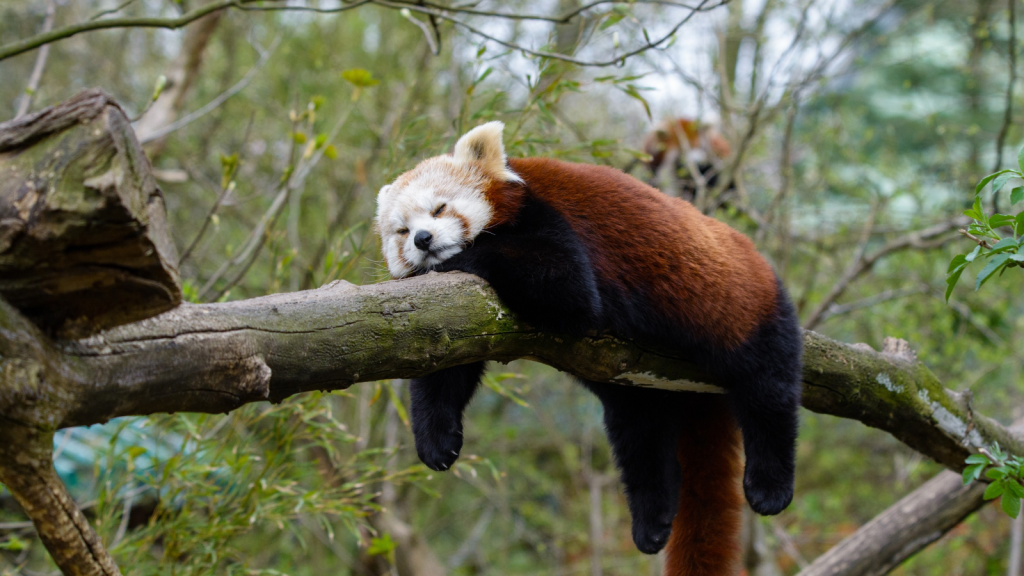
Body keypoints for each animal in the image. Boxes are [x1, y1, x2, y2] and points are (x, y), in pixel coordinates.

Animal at [372, 120, 802, 573]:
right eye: (401, 231)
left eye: (439, 209)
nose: (422, 239)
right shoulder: (463, 319)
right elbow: (445, 368)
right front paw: (436, 441)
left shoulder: (551, 223)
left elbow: (565, 284)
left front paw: (458, 257)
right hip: (637, 382)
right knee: (640, 436)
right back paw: (651, 521)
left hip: (745, 309)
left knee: (768, 388)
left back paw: (770, 485)